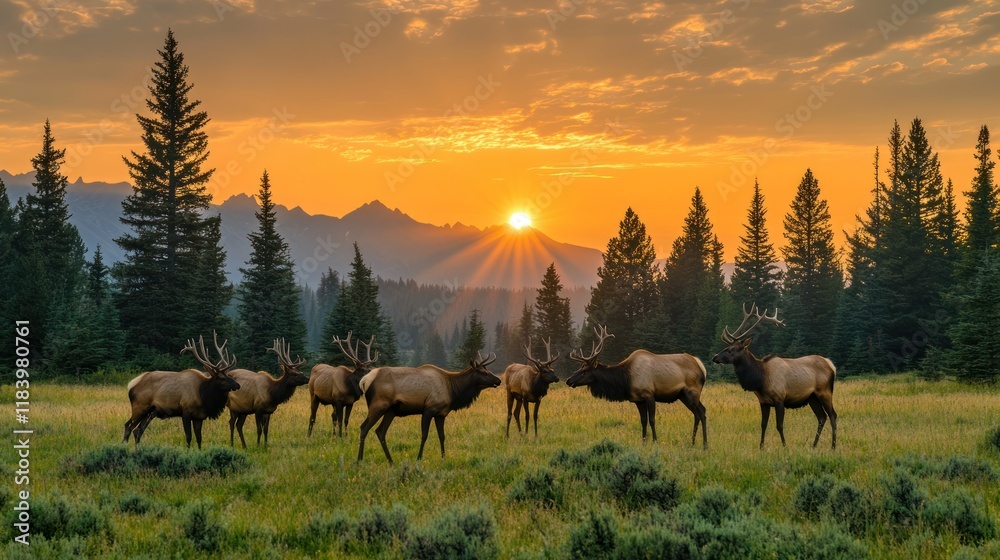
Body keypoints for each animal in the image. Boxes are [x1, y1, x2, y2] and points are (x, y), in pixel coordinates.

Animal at [356, 351, 501, 464]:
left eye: (488, 370)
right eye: (483, 372)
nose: (498, 380)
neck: (452, 391)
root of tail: (364, 381)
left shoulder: (441, 413)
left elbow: (442, 436)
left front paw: (443, 458)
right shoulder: (428, 410)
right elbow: (424, 435)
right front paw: (419, 458)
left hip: (390, 411)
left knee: (380, 431)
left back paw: (390, 461)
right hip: (378, 405)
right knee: (364, 427)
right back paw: (359, 460)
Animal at [566, 326, 709, 448]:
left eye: (585, 371)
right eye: (580, 368)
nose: (568, 380)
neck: (625, 380)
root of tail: (701, 366)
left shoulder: (649, 395)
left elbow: (652, 420)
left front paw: (655, 442)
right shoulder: (638, 400)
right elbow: (643, 421)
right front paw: (643, 443)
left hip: (693, 391)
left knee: (702, 411)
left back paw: (705, 444)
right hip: (682, 395)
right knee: (696, 414)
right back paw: (693, 442)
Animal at [711, 304, 838, 449]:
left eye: (731, 350)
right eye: (726, 347)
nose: (715, 357)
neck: (761, 379)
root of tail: (831, 365)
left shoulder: (779, 398)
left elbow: (779, 425)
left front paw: (784, 446)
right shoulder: (763, 402)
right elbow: (763, 424)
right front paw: (761, 447)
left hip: (825, 391)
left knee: (833, 415)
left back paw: (833, 446)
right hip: (812, 397)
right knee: (822, 417)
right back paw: (814, 445)